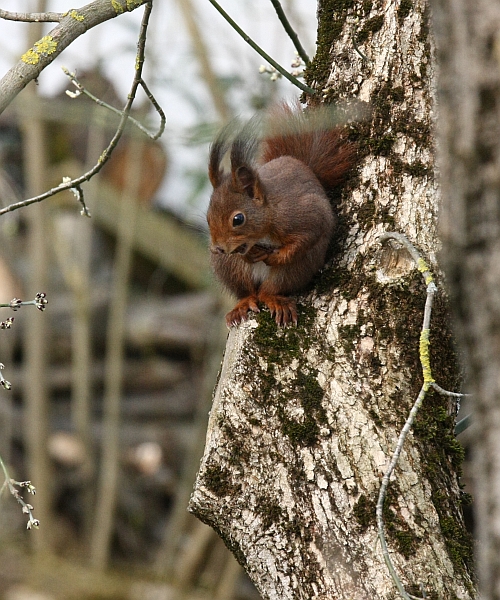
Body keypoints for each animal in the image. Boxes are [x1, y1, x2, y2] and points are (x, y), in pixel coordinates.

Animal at [207, 104, 356, 328]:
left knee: (269, 290)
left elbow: (304, 239)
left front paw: (273, 256)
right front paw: (251, 255)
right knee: (248, 292)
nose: (217, 249)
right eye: (208, 217)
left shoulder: (302, 216)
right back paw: (243, 304)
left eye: (238, 219)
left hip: (297, 268)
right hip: (229, 267)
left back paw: (275, 300)